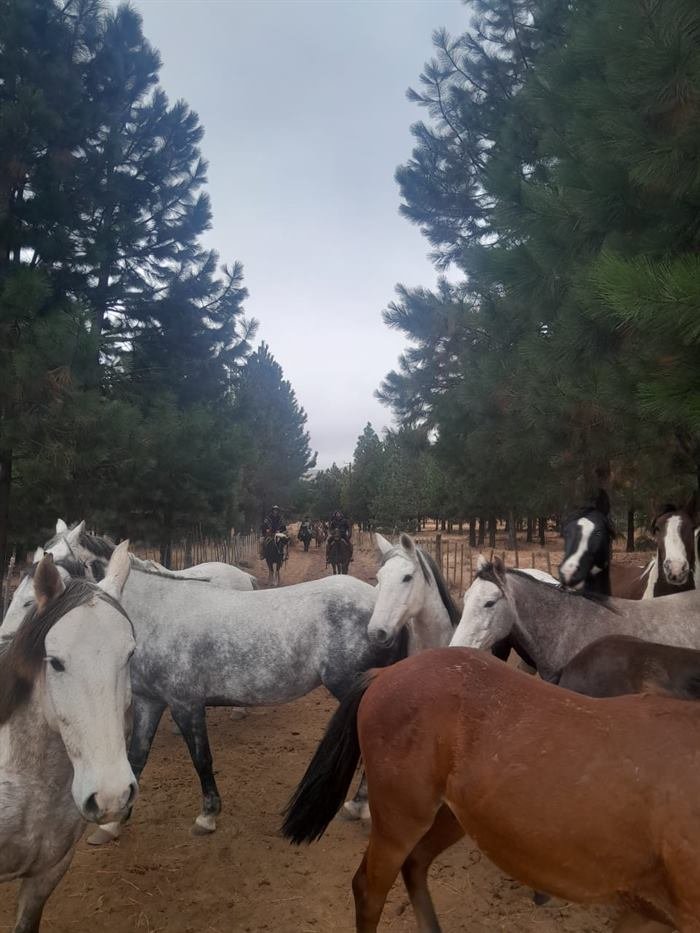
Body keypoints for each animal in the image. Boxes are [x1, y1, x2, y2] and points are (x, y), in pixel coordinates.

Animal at [282, 647, 700, 933]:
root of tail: (387, 672)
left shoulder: (647, 912)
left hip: (454, 816)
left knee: (415, 864)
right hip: (400, 821)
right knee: (369, 889)